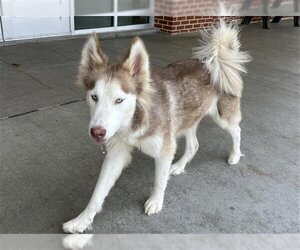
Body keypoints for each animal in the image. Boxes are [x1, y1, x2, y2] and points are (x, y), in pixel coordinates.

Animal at [62, 20, 251, 233]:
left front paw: (155, 201)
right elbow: (98, 192)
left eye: (119, 100)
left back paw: (235, 155)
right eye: (94, 97)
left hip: (222, 117)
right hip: (186, 119)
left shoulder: (164, 149)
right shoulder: (117, 152)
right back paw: (179, 166)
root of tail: (213, 61)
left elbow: (159, 180)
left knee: (236, 131)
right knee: (194, 145)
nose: (97, 132)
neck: (133, 121)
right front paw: (82, 220)